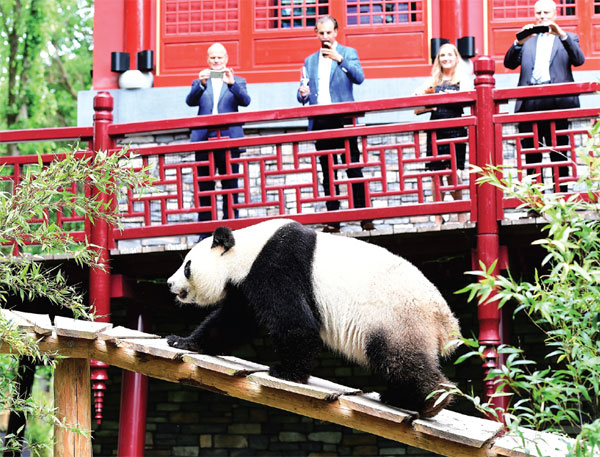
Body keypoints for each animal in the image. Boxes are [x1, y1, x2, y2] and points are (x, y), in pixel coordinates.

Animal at [166, 218, 462, 416]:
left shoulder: (277, 265)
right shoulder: (246, 285)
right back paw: (400, 398)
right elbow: (233, 321)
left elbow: (296, 323)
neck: (247, 251)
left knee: (397, 357)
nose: (169, 284)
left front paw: (286, 372)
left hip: (397, 317)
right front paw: (182, 341)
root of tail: (445, 320)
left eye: (187, 266)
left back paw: (430, 401)